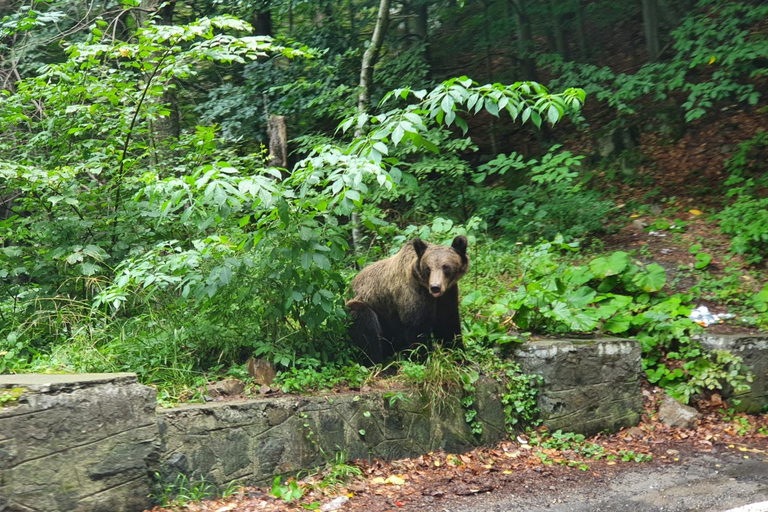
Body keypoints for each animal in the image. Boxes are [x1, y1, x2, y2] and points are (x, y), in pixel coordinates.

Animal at [346, 236, 468, 364]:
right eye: (428, 268)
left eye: (445, 266)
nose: (435, 287)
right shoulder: (413, 295)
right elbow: (417, 330)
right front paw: (423, 359)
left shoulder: (447, 294)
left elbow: (448, 323)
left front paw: (460, 357)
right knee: (366, 328)